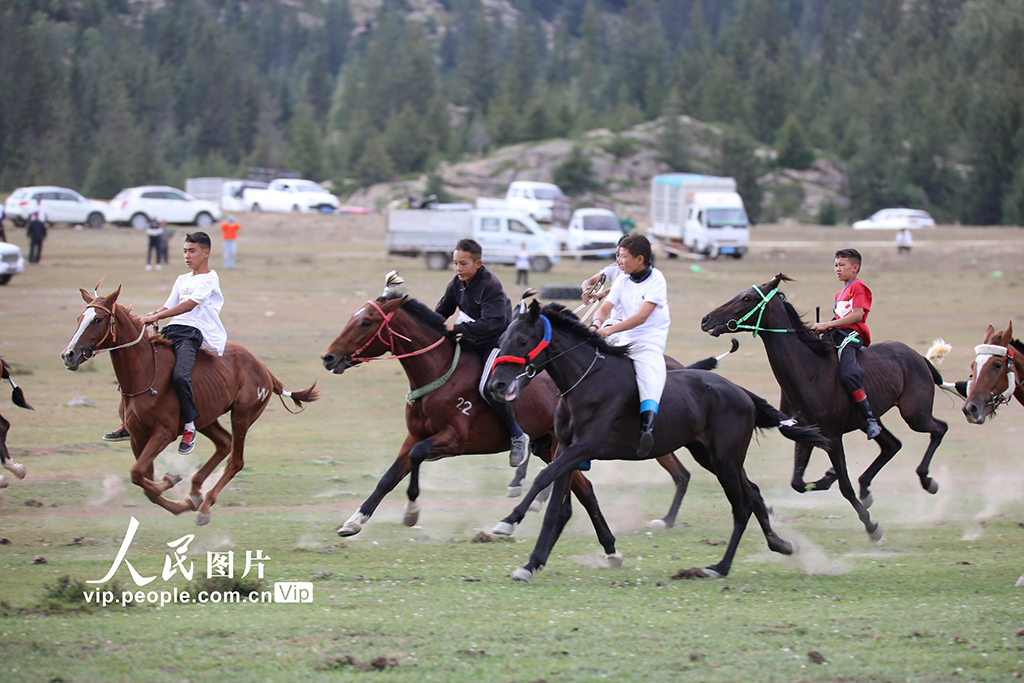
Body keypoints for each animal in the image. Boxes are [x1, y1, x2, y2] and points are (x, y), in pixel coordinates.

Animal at [61, 286, 317, 528]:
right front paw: (179, 498)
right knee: (224, 443)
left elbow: (139, 475)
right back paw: (195, 492)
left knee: (235, 460)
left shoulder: (163, 433)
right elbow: (143, 479)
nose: (68, 355)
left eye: (97, 319)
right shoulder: (137, 436)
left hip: (242, 416)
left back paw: (204, 506)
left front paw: (171, 482)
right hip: (206, 418)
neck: (145, 373)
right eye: (79, 318)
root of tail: (263, 367)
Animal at [319, 282, 737, 540]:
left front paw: (412, 511)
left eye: (366, 321)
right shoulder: (415, 436)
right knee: (585, 488)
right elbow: (389, 476)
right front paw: (355, 520)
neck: (439, 371)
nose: (329, 358)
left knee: (672, 474)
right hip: (554, 445)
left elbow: (418, 461)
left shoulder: (452, 441)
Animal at [481, 301, 831, 585]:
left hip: (724, 460)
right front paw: (531, 563)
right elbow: (556, 505)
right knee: (754, 495)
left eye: (522, 341)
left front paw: (508, 521)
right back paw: (780, 544)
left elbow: (543, 478)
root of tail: (741, 392)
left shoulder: (585, 447)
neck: (586, 381)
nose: (497, 385)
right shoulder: (564, 448)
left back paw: (720, 567)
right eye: (501, 340)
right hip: (713, 457)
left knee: (742, 506)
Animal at [704, 272, 950, 540]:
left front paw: (870, 525)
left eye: (747, 298)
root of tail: (919, 357)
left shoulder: (833, 437)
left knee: (939, 429)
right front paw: (828, 477)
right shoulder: (806, 433)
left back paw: (927, 480)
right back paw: (867, 488)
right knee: (892, 444)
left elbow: (844, 486)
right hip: (869, 421)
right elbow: (798, 483)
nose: (706, 320)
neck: (810, 371)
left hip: (915, 414)